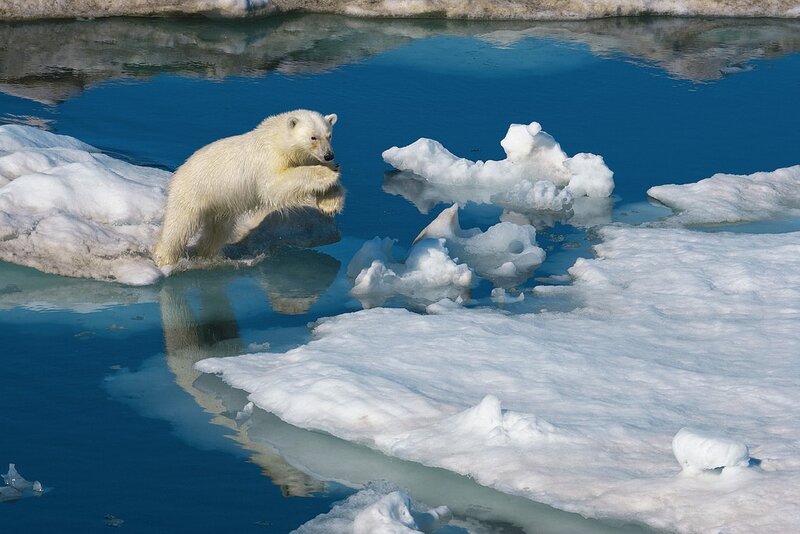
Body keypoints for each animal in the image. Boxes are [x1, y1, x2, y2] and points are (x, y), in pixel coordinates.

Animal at [152, 109, 344, 267]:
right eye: (313, 137)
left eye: (329, 135)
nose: (329, 155)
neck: (277, 138)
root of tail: (179, 171)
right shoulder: (269, 158)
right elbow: (275, 185)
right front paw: (328, 172)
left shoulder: (304, 157)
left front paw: (330, 203)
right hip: (193, 191)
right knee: (178, 226)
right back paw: (165, 258)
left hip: (220, 204)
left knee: (218, 230)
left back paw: (205, 254)